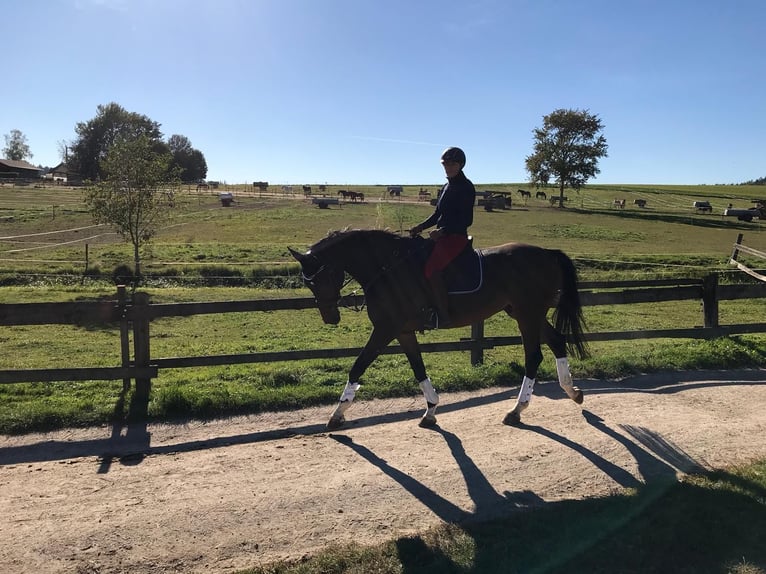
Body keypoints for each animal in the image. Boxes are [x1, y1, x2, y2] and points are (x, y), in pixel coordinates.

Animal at [292, 230, 592, 432]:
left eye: (318, 279)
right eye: (308, 283)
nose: (330, 317)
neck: (387, 269)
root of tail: (547, 253)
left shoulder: (385, 329)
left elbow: (358, 366)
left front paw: (337, 414)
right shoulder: (402, 331)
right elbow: (418, 368)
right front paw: (431, 410)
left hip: (528, 314)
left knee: (533, 357)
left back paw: (516, 410)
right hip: (526, 313)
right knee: (557, 341)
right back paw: (573, 392)